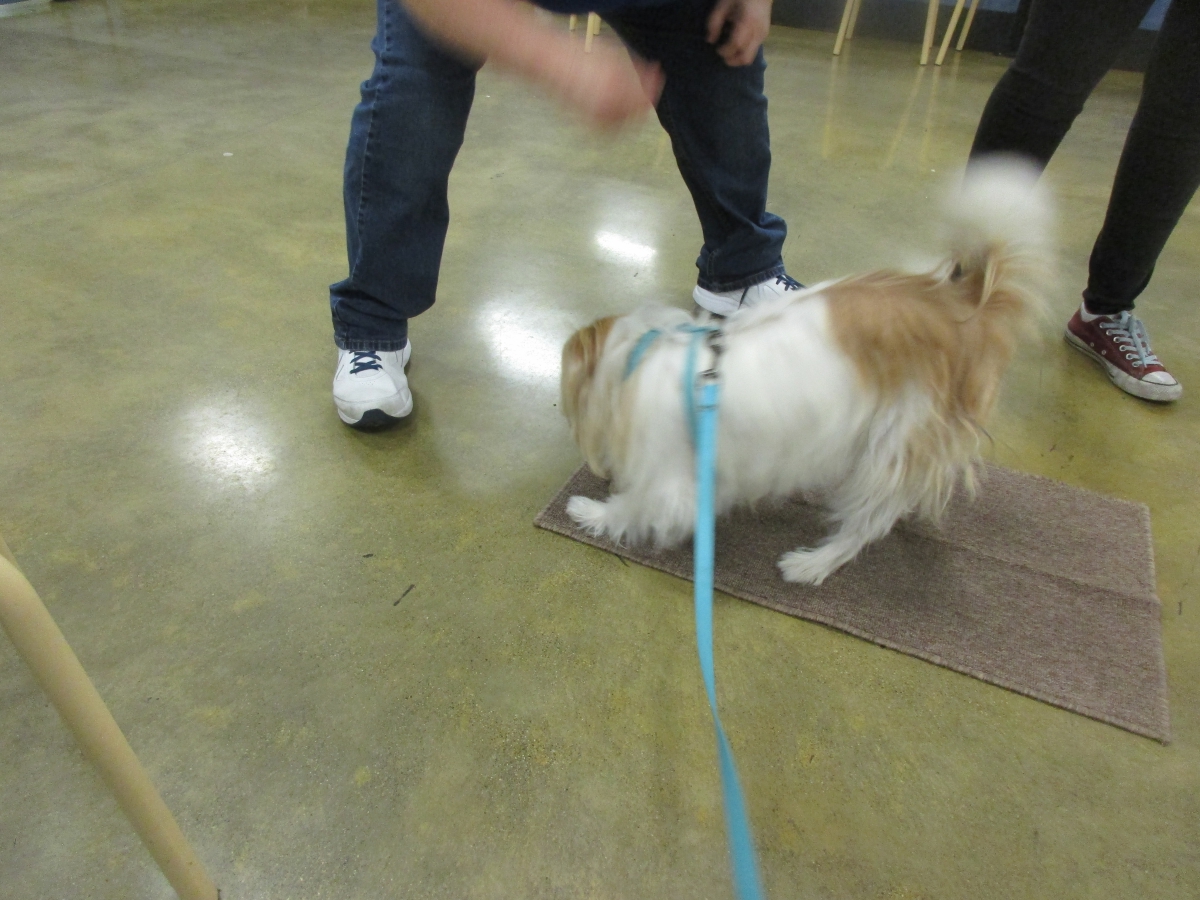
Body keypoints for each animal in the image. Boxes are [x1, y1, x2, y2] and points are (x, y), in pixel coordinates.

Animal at [559, 159, 1052, 585]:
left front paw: (591, 511)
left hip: (896, 441)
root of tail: (963, 301)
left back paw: (812, 564)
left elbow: (633, 507)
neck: (642, 357)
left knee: (867, 523)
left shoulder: (671, 482)